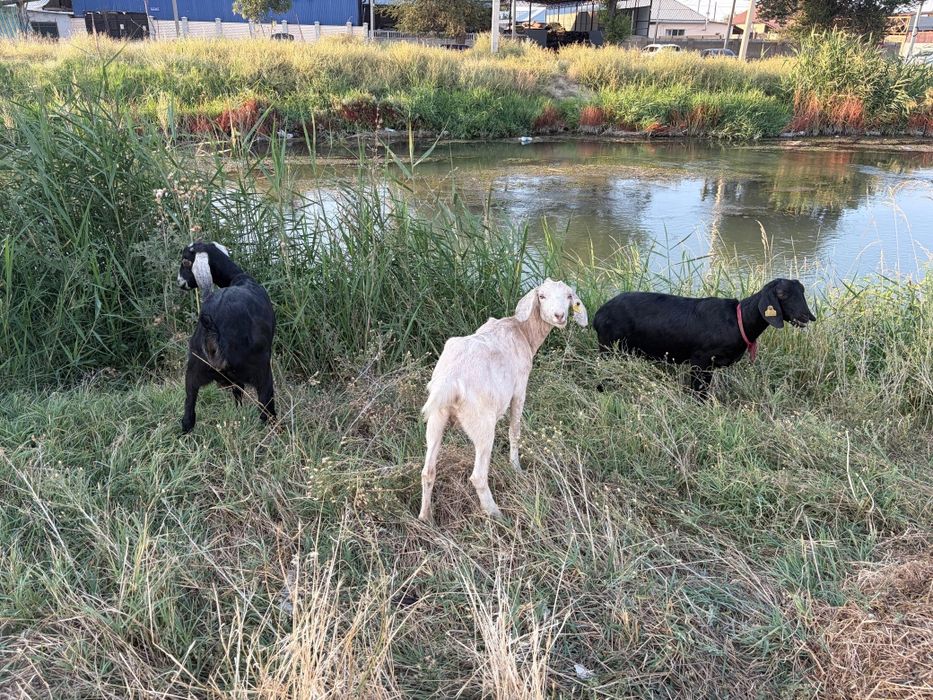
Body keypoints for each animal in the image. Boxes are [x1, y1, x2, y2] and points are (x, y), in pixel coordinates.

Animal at [176, 241, 276, 433]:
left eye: (185, 261)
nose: (180, 282)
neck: (238, 277)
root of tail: (212, 325)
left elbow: (237, 396)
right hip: (261, 369)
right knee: (266, 411)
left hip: (194, 369)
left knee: (188, 413)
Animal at [418, 278, 588, 521]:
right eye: (542, 296)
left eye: (568, 296)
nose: (559, 316)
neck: (523, 331)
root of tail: (451, 380)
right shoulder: (520, 387)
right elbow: (514, 430)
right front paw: (516, 467)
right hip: (482, 423)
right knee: (478, 476)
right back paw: (497, 514)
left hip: (436, 418)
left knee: (428, 470)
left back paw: (426, 517)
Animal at [592, 278, 815, 397]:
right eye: (782, 294)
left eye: (802, 292)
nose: (806, 316)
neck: (739, 320)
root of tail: (599, 314)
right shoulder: (700, 361)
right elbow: (700, 393)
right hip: (609, 348)